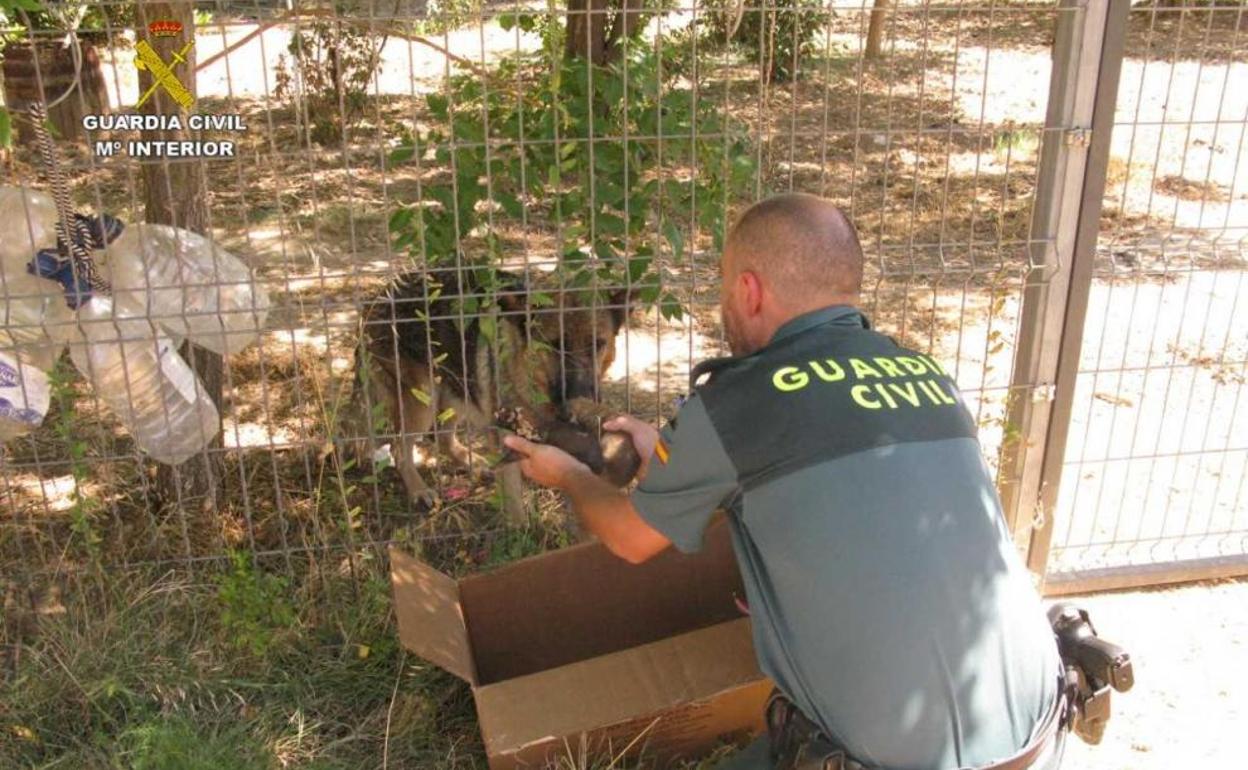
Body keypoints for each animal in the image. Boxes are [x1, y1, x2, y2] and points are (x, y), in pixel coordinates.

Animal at [346, 267, 633, 519]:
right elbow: (515, 502)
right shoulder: (506, 443)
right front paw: (522, 534)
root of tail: (379, 297)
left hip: (456, 388)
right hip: (422, 400)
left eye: (597, 344)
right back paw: (419, 491)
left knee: (442, 437)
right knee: (399, 447)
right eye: (554, 345)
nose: (582, 396)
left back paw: (472, 462)